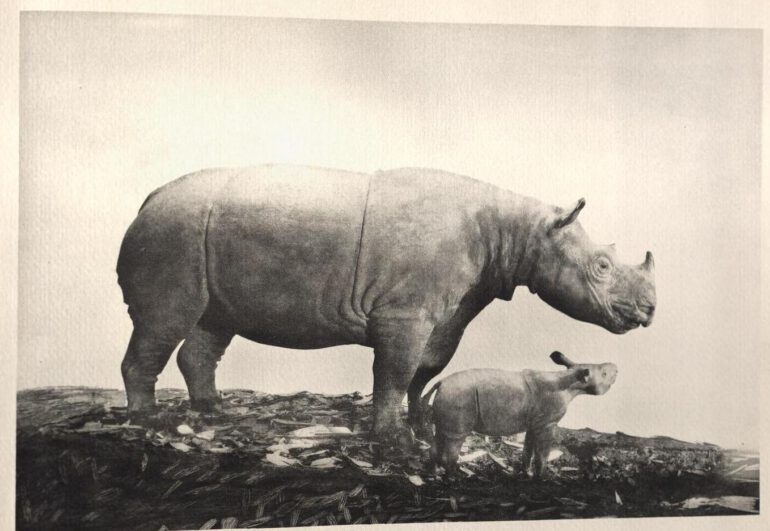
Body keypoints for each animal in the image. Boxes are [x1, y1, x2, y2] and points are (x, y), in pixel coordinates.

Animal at [117, 165, 656, 446]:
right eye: (602, 266)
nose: (649, 312)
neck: (524, 232)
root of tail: (149, 197)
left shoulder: (448, 311)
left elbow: (427, 366)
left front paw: (422, 422)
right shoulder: (403, 312)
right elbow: (395, 369)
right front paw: (394, 440)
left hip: (198, 236)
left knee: (212, 324)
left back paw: (213, 408)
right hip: (173, 233)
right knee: (164, 321)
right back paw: (148, 422)